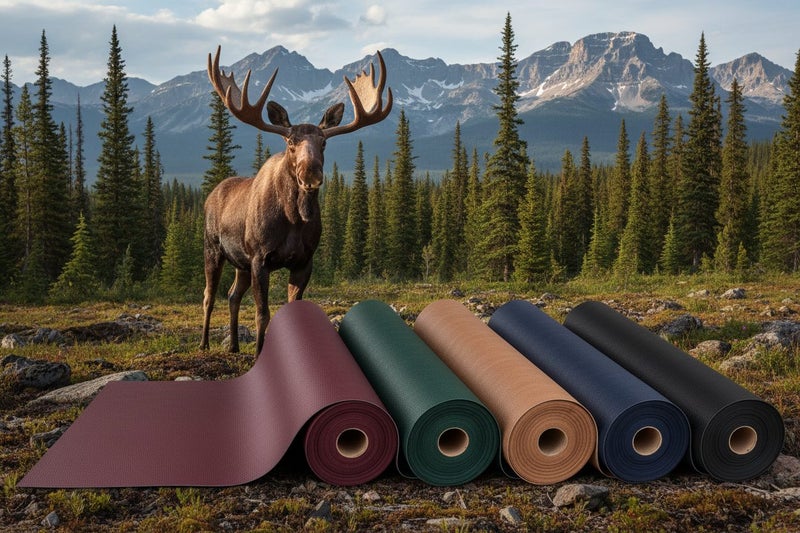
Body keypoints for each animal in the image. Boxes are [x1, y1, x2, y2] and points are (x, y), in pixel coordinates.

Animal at [201, 46, 393, 354]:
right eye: (290, 143)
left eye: (323, 143)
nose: (311, 174)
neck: (293, 218)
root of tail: (210, 195)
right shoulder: (260, 258)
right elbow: (262, 314)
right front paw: (260, 353)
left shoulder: (304, 261)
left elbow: (292, 307)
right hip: (213, 249)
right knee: (209, 295)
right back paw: (205, 343)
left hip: (240, 262)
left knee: (232, 295)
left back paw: (233, 346)